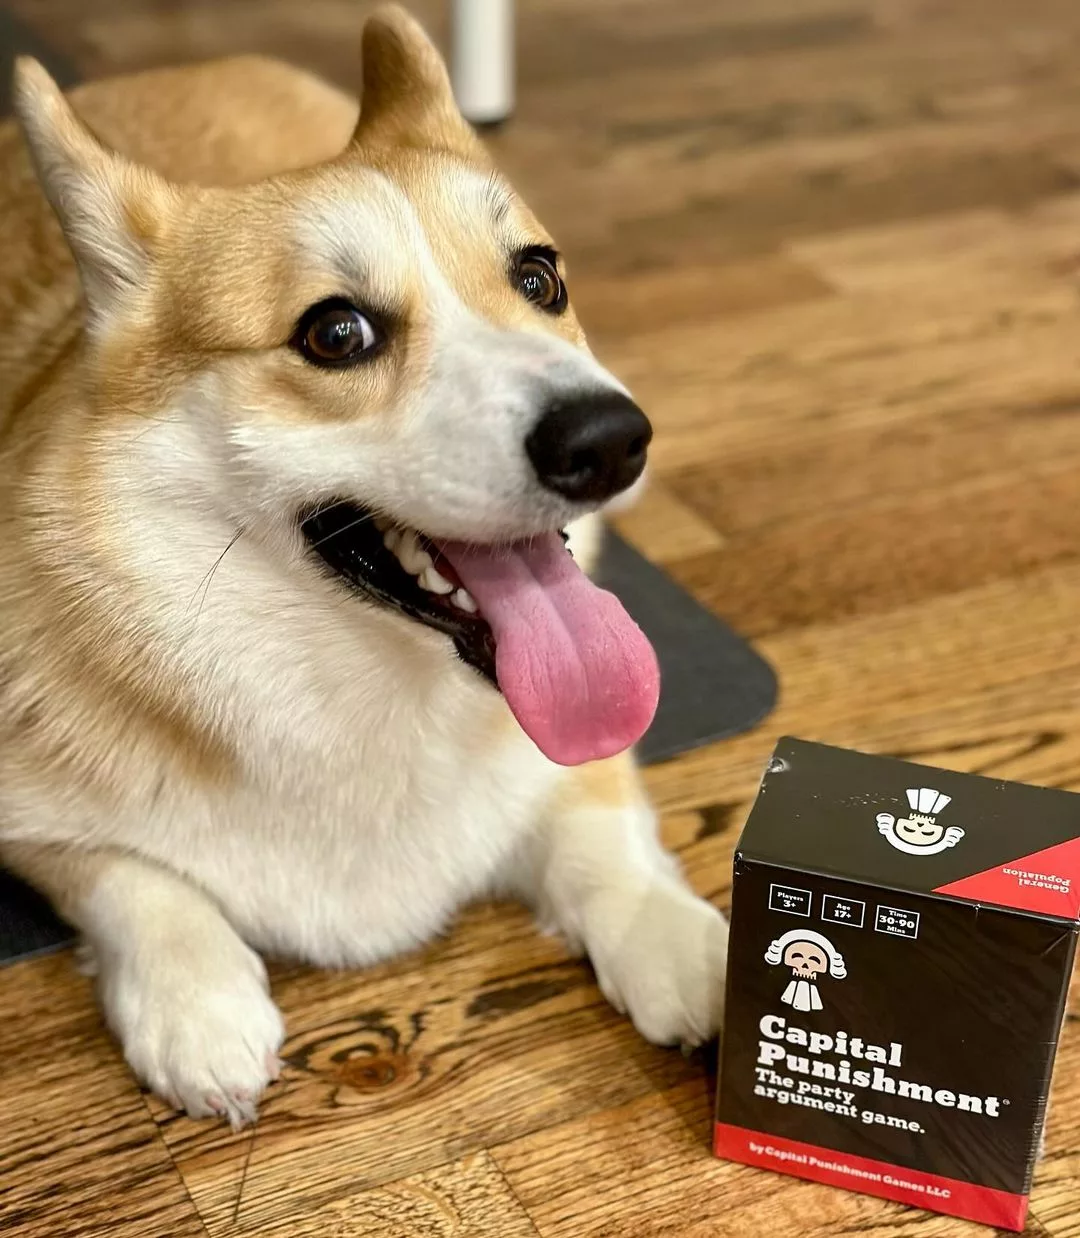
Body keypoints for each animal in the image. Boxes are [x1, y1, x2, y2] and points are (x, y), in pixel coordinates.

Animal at [0, 6, 727, 1127]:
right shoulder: (36, 821)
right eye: (336, 332)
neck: (365, 689)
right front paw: (198, 1003)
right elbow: (131, 874)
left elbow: (602, 824)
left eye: (540, 278)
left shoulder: (578, 763)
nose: (612, 441)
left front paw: (686, 944)